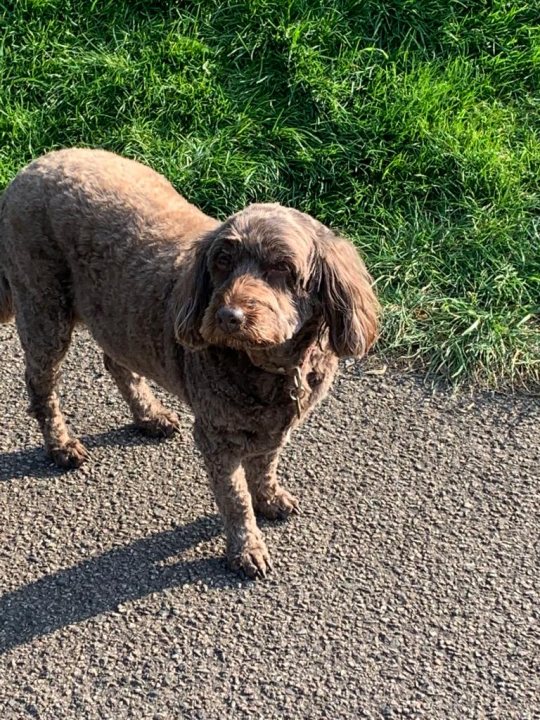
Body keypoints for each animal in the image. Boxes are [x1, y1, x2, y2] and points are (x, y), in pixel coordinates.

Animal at [0, 150, 380, 580]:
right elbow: (234, 497)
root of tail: (36, 164)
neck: (270, 365)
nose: (228, 316)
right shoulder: (216, 436)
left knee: (117, 361)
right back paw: (61, 444)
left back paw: (148, 415)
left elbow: (264, 465)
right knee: (41, 384)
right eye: (222, 261)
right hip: (43, 306)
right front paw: (246, 546)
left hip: (117, 315)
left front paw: (268, 497)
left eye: (282, 267)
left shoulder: (276, 427)